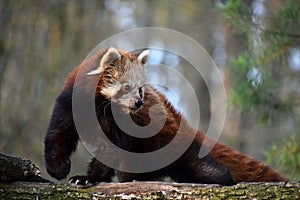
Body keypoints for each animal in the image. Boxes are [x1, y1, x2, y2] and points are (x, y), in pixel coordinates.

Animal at [44, 47, 286, 186]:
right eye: (127, 87)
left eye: (141, 89)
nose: (139, 103)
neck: (100, 108)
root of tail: (183, 122)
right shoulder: (69, 103)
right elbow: (58, 133)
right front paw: (58, 168)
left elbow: (111, 151)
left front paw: (89, 177)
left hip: (170, 146)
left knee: (198, 167)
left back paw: (223, 177)